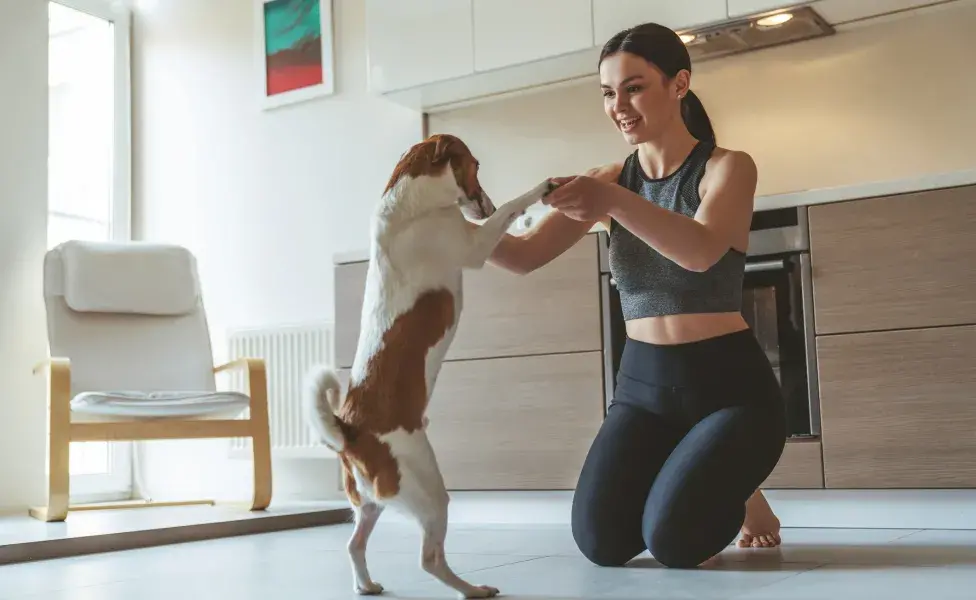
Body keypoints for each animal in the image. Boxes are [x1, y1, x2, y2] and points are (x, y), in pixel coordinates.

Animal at [302, 134, 552, 596]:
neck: (412, 204)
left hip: (373, 503)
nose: (485, 206)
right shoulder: (474, 246)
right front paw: (537, 190)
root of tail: (349, 432)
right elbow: (512, 206)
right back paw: (471, 589)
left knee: (354, 543)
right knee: (429, 559)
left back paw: (367, 584)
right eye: (475, 165)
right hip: (430, 491)